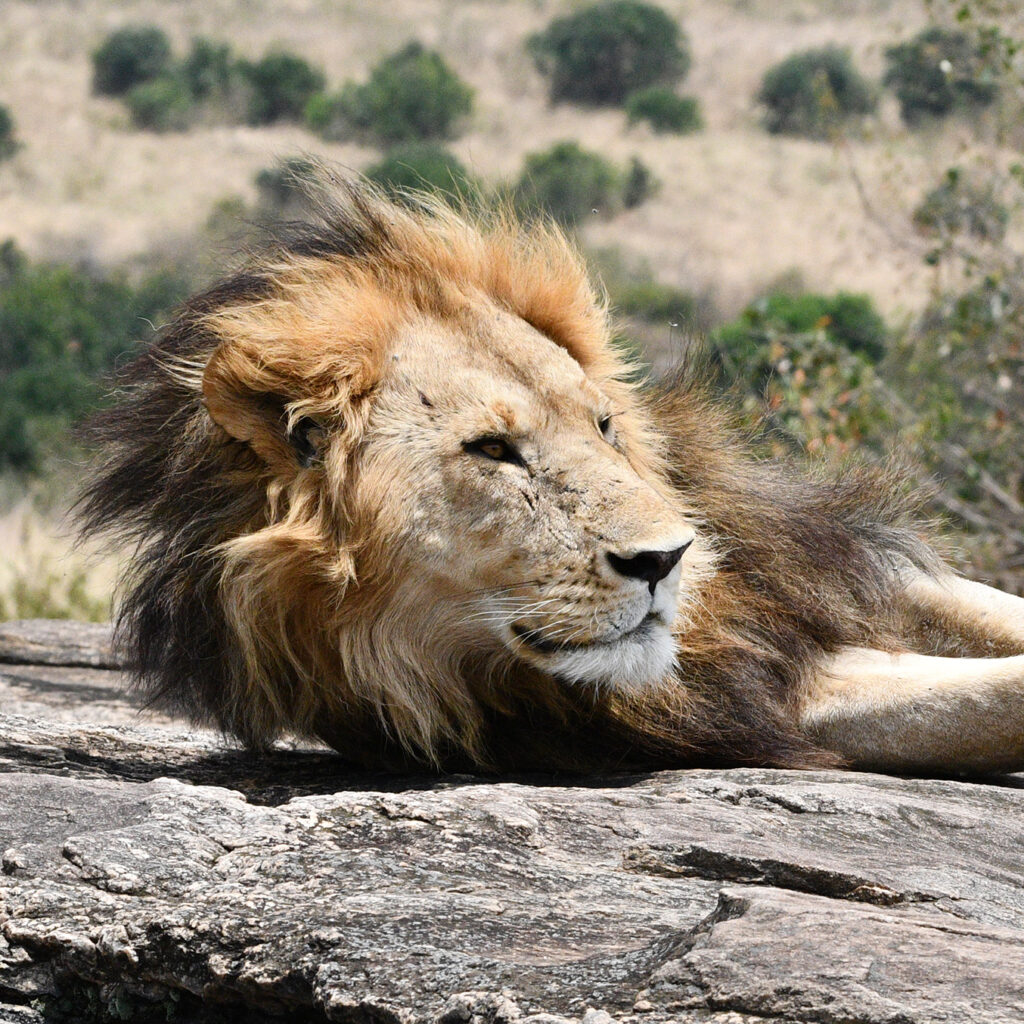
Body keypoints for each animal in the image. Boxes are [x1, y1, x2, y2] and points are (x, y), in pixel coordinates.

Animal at [77, 178, 1024, 774]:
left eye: (602, 426)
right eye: (494, 450)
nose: (667, 562)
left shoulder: (827, 571)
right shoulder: (719, 699)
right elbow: (985, 701)